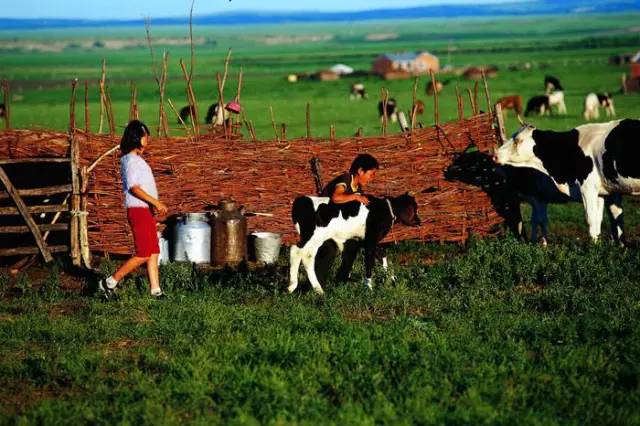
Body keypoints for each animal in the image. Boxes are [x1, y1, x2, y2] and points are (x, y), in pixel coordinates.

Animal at [288, 194, 420, 296]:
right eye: (415, 209)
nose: (419, 221)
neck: (385, 209)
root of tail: (301, 200)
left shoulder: (370, 241)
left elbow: (383, 258)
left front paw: (392, 280)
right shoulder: (370, 241)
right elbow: (369, 264)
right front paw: (369, 288)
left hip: (314, 240)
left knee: (305, 256)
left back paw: (315, 289)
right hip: (312, 237)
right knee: (297, 251)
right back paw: (295, 286)